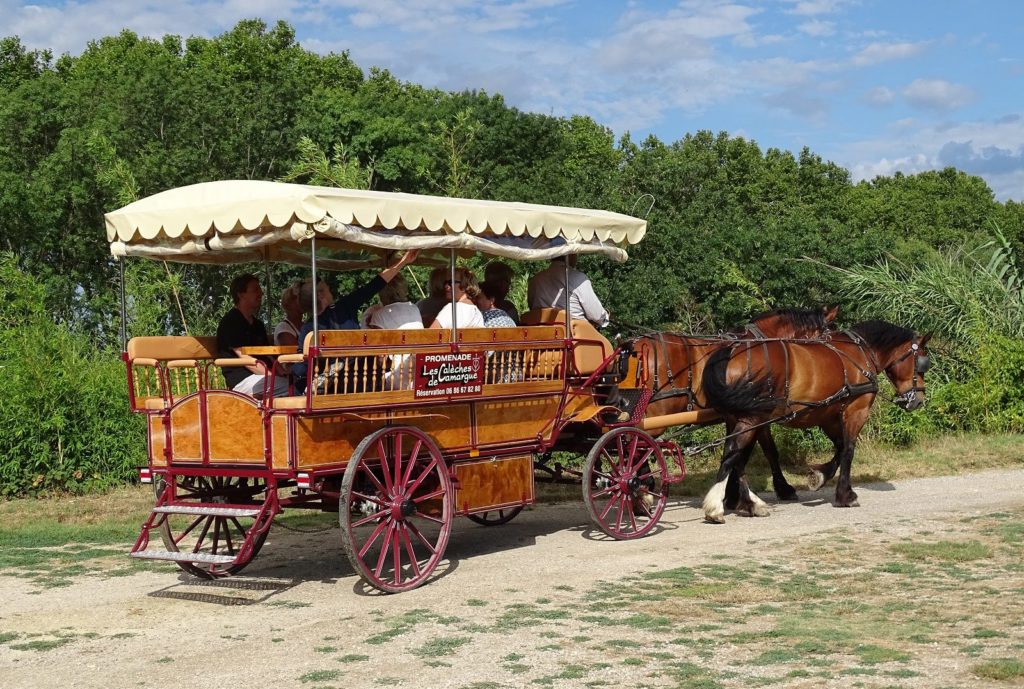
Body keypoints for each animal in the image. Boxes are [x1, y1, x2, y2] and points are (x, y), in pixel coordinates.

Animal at [634, 307, 835, 499]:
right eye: (826, 337)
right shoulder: (759, 415)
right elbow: (765, 451)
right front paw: (783, 488)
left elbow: (741, 451)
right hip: (659, 414)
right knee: (637, 441)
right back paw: (642, 485)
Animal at [704, 319, 929, 522]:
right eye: (921, 363)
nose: (918, 400)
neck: (862, 352)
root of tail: (732, 352)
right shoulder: (856, 410)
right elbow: (848, 450)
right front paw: (845, 495)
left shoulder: (827, 415)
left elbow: (840, 447)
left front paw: (819, 476)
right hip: (752, 418)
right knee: (734, 454)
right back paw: (718, 506)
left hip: (738, 418)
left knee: (735, 455)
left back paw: (746, 503)